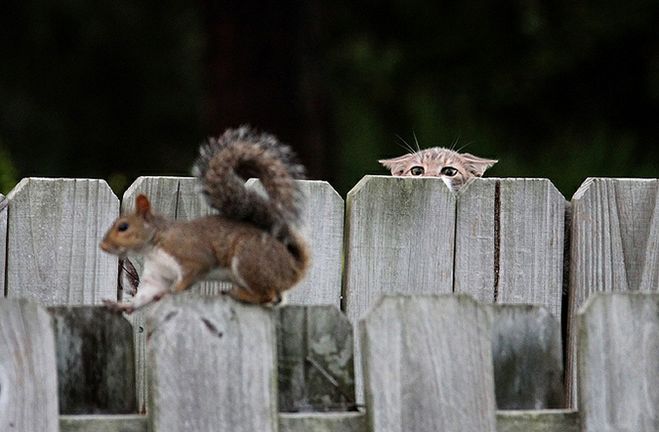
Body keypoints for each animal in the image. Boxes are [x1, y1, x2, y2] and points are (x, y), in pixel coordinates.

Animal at [101, 126, 312, 312]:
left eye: (123, 227)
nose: (103, 246)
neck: (154, 243)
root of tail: (293, 267)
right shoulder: (158, 275)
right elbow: (146, 293)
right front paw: (123, 306)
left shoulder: (191, 256)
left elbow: (189, 276)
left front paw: (171, 292)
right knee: (274, 298)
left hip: (249, 260)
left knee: (267, 295)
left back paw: (237, 294)